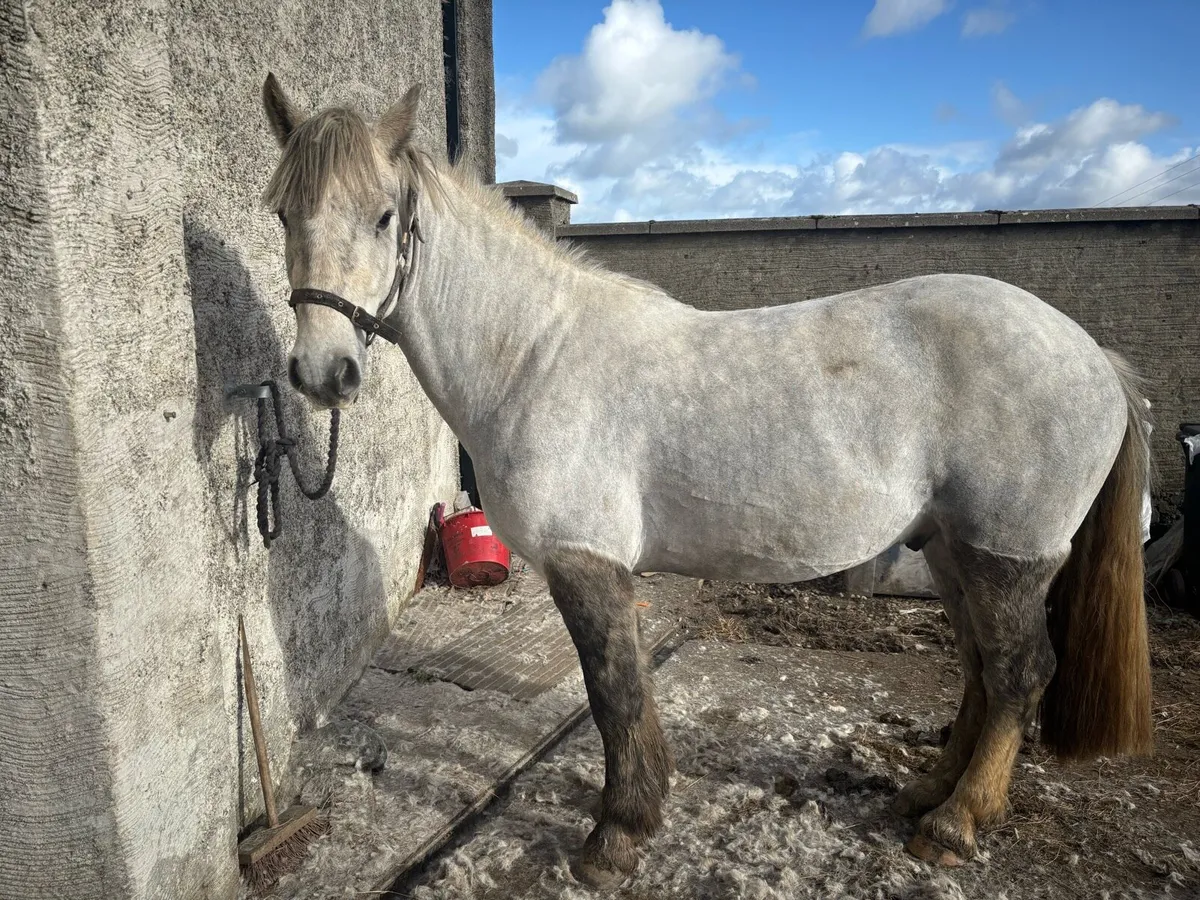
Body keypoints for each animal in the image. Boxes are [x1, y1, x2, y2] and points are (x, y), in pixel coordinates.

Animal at [258, 74, 1154, 887]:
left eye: (383, 216)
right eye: (282, 213)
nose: (322, 373)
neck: (534, 356)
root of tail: (1094, 359)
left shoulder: (587, 564)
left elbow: (614, 693)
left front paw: (616, 835)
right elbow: (625, 692)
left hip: (1008, 557)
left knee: (1018, 674)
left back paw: (956, 826)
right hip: (947, 547)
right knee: (979, 669)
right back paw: (928, 795)